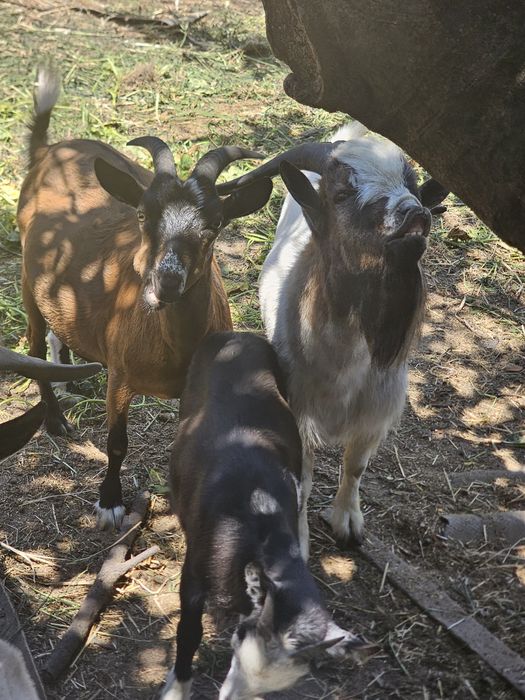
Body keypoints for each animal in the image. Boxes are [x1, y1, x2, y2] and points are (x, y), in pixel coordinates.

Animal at [17, 67, 272, 529]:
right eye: (141, 215)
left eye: (215, 224)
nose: (166, 281)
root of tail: (49, 150)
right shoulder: (120, 375)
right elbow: (117, 441)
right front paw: (110, 503)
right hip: (29, 281)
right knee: (33, 344)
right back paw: (57, 421)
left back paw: (70, 376)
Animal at [162, 331, 366, 700]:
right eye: (237, 649)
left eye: (279, 686)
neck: (259, 519)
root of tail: (236, 334)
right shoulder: (194, 575)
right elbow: (188, 632)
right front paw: (177, 688)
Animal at [217, 123, 448, 555]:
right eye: (341, 193)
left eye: (411, 184)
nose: (415, 213)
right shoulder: (297, 410)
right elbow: (303, 482)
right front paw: (301, 540)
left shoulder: (374, 412)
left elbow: (355, 466)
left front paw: (347, 521)